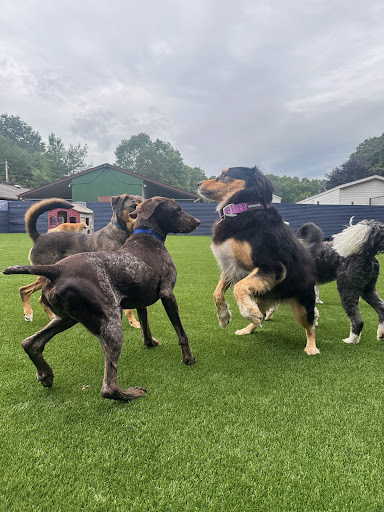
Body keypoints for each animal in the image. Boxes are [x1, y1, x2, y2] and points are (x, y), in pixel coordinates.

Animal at [18, 194, 141, 326]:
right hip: (45, 275)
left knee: (36, 296)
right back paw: (29, 314)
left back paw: (50, 316)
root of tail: (39, 237)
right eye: (133, 206)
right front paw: (133, 322)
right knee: (25, 290)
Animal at [196, 166, 320, 354]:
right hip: (262, 294)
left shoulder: (273, 267)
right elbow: (217, 293)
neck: (242, 209)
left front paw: (248, 311)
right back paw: (248, 328)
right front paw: (224, 317)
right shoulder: (232, 267)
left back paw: (311, 347)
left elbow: (238, 288)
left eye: (224, 175)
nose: (197, 183)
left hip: (303, 306)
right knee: (262, 316)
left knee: (310, 326)